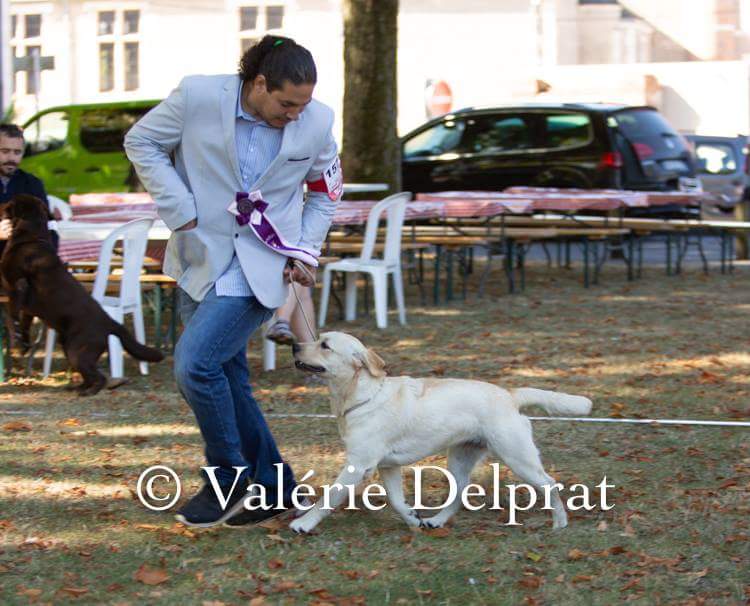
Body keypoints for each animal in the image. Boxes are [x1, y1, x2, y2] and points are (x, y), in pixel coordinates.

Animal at [0, 194, 164, 394]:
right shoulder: (27, 307)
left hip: (78, 350)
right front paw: (22, 345)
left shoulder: (16, 286)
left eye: (10, 203)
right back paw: (77, 387)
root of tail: (111, 322)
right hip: (68, 346)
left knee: (98, 376)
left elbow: (13, 315)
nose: (1, 204)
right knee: (89, 375)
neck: (31, 237)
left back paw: (88, 391)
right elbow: (23, 323)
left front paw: (16, 338)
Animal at [290, 330, 596, 536]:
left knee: (550, 484)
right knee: (460, 494)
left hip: (518, 457)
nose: (293, 345)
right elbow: (397, 501)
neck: (362, 396)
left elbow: (328, 498)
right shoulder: (387, 466)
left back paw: (560, 523)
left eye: (325, 345)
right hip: (460, 458)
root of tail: (509, 394)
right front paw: (413, 519)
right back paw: (436, 521)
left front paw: (303, 523)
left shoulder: (358, 465)